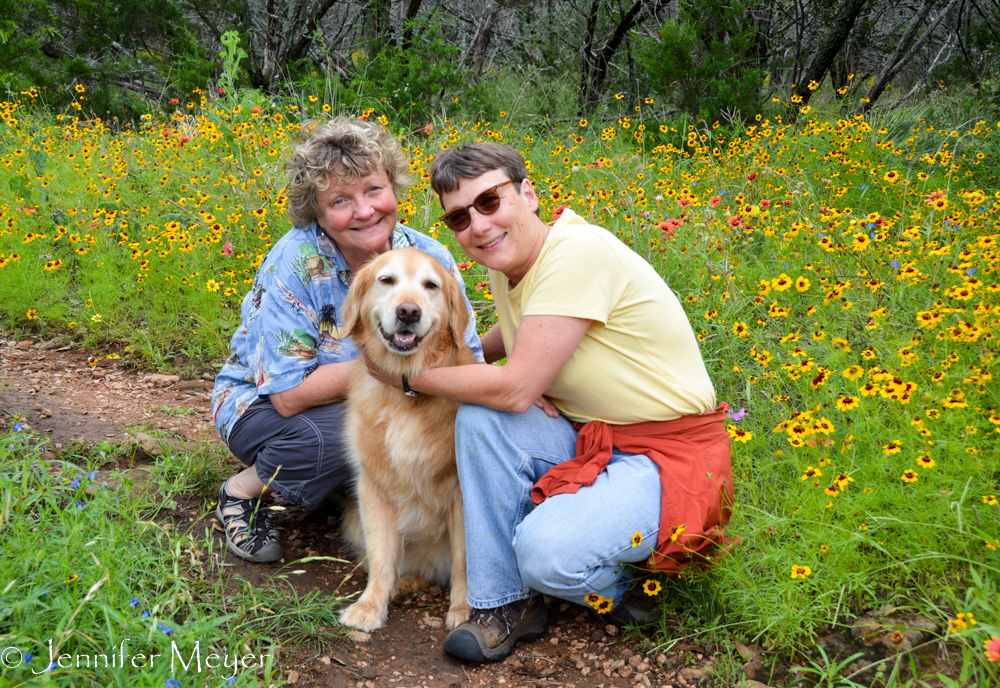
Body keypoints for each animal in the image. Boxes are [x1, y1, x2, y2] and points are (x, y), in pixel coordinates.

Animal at [336, 247, 476, 636]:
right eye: (387, 280)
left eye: (431, 285)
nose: (408, 312)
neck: (404, 393)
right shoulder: (372, 487)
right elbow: (381, 555)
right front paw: (370, 607)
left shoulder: (461, 494)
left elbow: (464, 561)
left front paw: (463, 610)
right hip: (352, 517)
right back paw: (406, 584)